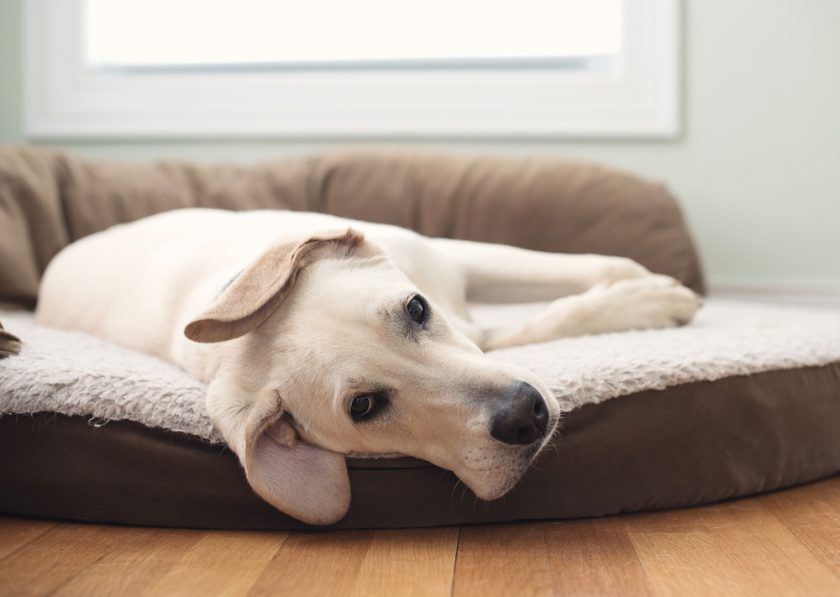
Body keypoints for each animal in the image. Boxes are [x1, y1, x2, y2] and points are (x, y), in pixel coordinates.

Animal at [36, 208, 700, 520]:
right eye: (364, 406)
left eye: (416, 308)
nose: (526, 416)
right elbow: (544, 321)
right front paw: (645, 303)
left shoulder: (454, 262)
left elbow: (575, 268)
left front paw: (646, 289)